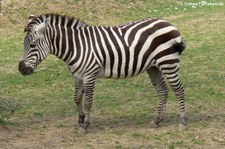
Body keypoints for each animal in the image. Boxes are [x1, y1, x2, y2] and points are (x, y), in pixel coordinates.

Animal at [18, 13, 187, 134]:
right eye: (24, 44)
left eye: (32, 45)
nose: (21, 68)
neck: (77, 46)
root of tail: (169, 23)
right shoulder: (78, 75)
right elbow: (77, 98)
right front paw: (80, 120)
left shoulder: (90, 74)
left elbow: (88, 101)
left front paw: (85, 125)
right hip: (153, 67)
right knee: (162, 90)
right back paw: (156, 120)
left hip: (168, 62)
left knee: (179, 90)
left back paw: (183, 121)